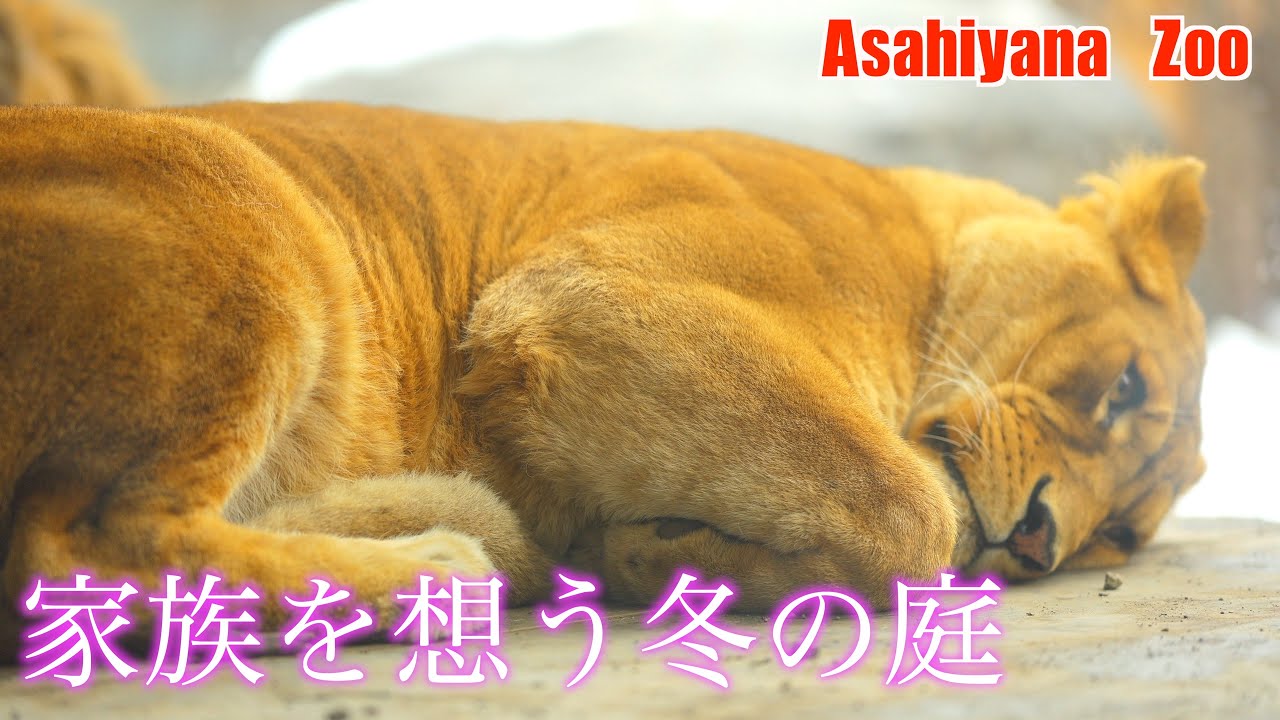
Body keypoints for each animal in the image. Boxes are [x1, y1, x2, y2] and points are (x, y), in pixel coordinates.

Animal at [0, 101, 1206, 661]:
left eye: (1118, 537)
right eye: (1118, 391)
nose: (1043, 539)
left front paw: (657, 554)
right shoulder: (584, 292)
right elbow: (910, 511)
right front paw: (653, 557)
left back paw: (465, 539)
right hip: (241, 203)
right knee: (74, 542)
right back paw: (438, 574)